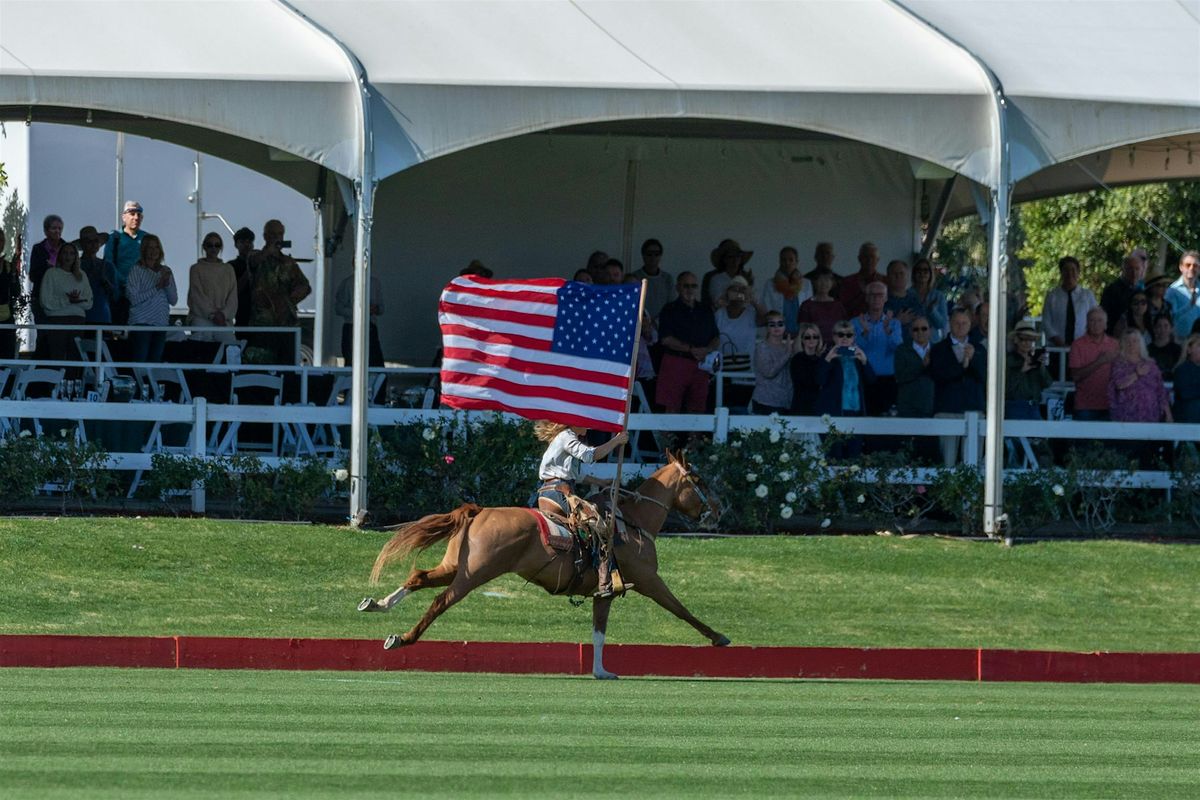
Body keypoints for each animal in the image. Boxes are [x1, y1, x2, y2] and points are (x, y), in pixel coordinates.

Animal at [357, 453, 729, 681]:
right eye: (698, 479)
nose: (718, 510)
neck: (634, 523)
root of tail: (479, 511)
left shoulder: (605, 593)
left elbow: (598, 632)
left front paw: (601, 671)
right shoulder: (649, 580)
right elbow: (681, 610)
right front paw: (719, 637)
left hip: (455, 565)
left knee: (419, 577)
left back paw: (377, 604)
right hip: (474, 574)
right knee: (439, 601)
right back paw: (402, 638)